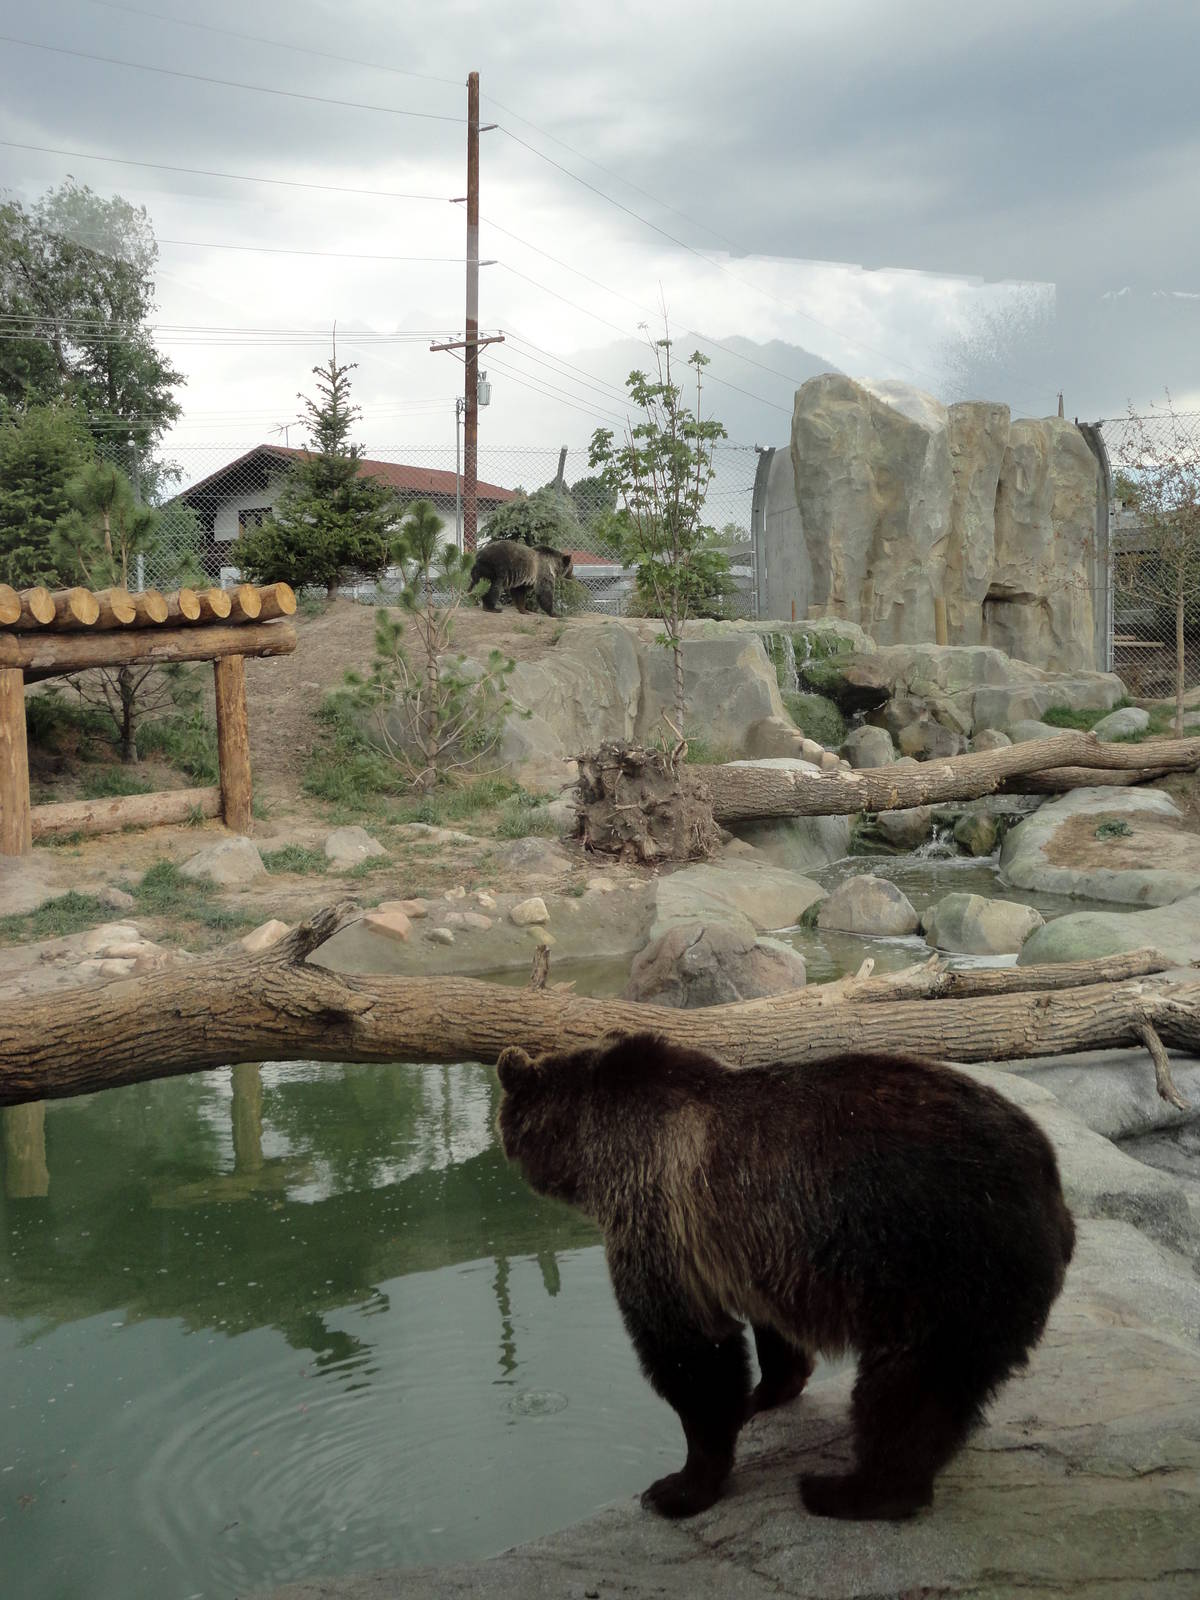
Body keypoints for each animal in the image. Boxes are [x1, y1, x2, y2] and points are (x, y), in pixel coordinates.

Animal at [496, 1032, 1075, 1523]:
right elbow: (772, 1327)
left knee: (907, 1387)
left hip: (944, 1263)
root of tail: (1051, 1180)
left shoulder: (656, 1217)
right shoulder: (760, 1245)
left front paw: (679, 1486)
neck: (594, 1148)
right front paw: (765, 1393)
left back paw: (847, 1490)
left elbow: (690, 1353)